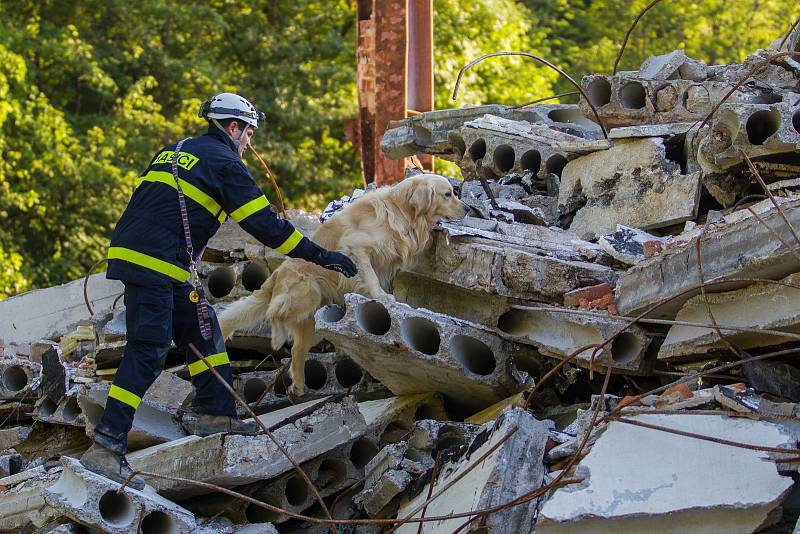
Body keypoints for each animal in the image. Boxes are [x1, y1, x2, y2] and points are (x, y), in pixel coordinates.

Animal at [219, 174, 468, 396]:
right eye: (448, 194)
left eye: (454, 193)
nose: (466, 209)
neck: (403, 211)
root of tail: (276, 274)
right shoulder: (356, 248)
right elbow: (370, 276)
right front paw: (381, 296)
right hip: (308, 291)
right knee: (275, 312)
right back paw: (278, 337)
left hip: (312, 321)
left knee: (297, 350)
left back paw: (298, 386)